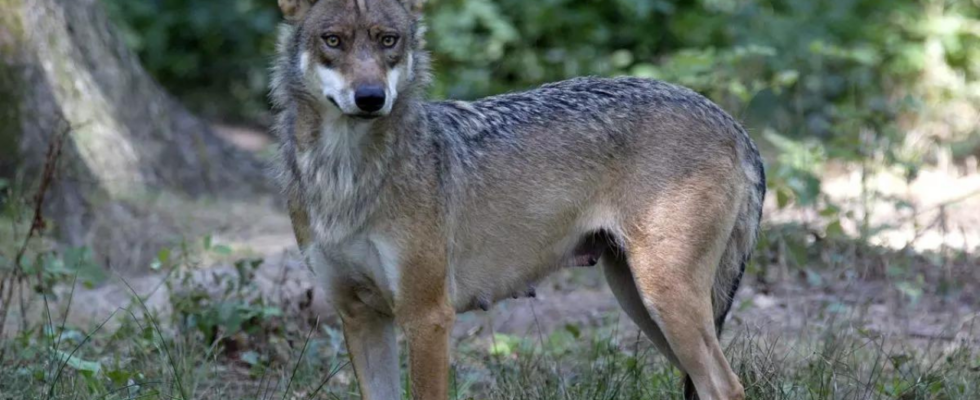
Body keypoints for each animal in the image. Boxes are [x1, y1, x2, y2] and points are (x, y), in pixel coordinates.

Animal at [270, 0, 764, 400]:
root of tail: (733, 124)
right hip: (641, 303)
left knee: (726, 386)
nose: (371, 98)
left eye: (388, 40)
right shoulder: (359, 317)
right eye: (333, 40)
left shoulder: (427, 317)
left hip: (665, 300)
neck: (344, 176)